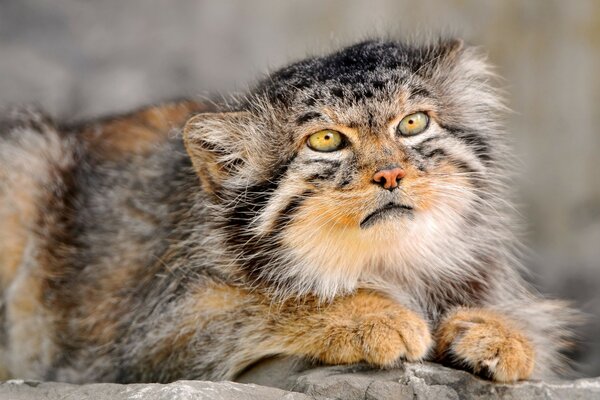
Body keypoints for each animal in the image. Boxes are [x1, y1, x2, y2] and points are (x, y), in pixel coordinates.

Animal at [1, 38, 580, 384]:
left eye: (413, 124)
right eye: (326, 140)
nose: (391, 174)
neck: (389, 262)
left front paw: (503, 330)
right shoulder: (154, 337)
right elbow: (271, 301)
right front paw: (372, 315)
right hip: (26, 160)